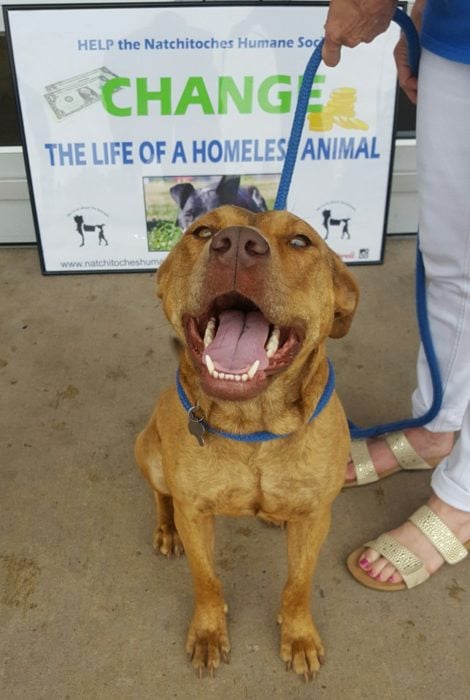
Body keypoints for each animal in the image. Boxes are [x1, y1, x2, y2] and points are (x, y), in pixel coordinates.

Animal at [134, 205, 358, 680]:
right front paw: (207, 632)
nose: (237, 243)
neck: (253, 424)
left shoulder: (316, 517)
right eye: (202, 232)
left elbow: (297, 584)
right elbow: (206, 579)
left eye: (301, 241)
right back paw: (165, 529)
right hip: (149, 453)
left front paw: (298, 635)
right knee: (161, 495)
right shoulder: (195, 513)